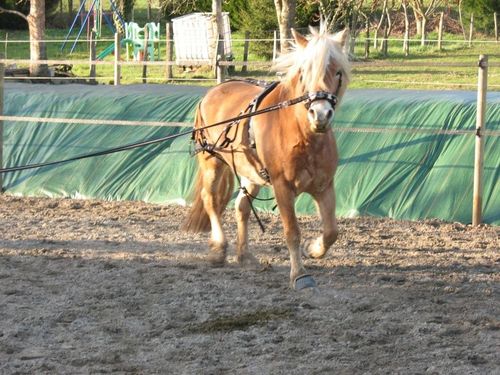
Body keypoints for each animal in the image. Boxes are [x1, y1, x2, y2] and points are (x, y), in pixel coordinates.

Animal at [184, 25, 352, 290]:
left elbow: (331, 232)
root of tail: (213, 91)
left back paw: (244, 255)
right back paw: (219, 247)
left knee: (242, 207)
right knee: (211, 201)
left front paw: (313, 249)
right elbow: (292, 231)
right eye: (304, 73)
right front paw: (300, 275)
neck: (302, 136)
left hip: (250, 173)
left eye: (338, 72)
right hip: (212, 163)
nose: (320, 114)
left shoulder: (324, 186)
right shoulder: (282, 187)